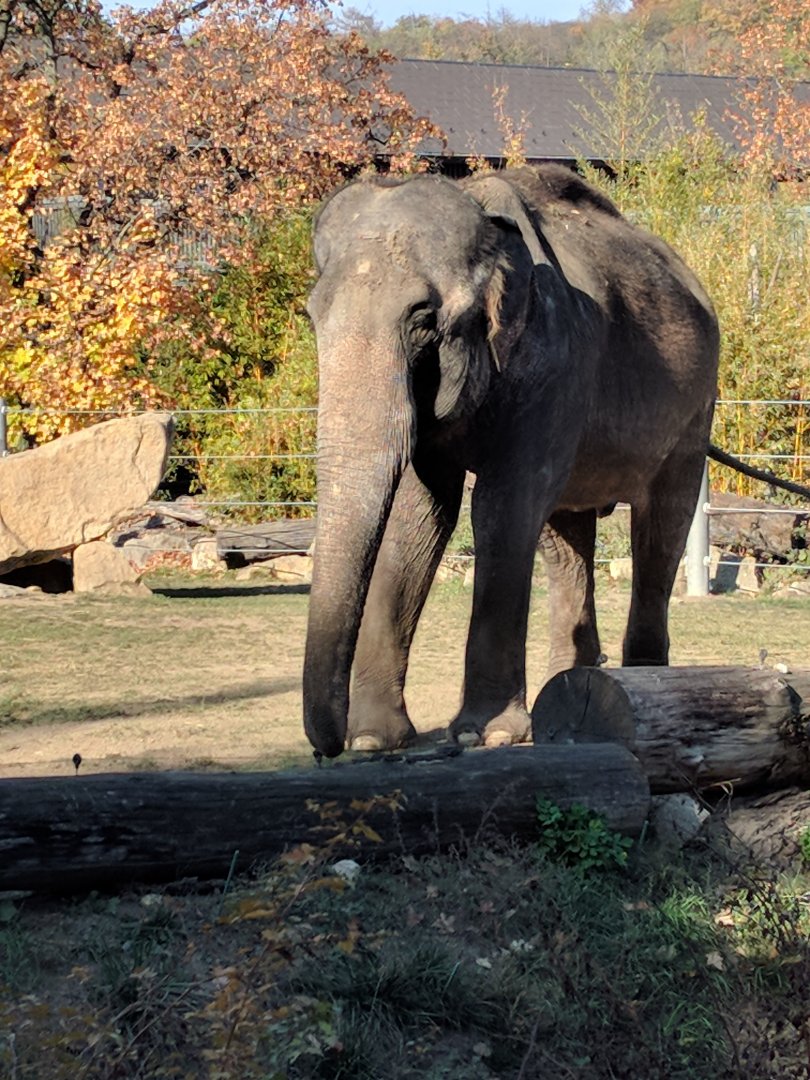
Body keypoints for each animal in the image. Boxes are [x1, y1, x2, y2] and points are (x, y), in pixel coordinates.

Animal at [303, 163, 720, 759]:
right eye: (312, 316)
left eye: (422, 319)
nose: (326, 748)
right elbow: (419, 514)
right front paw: (374, 739)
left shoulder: (552, 362)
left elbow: (502, 507)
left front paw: (489, 734)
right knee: (565, 540)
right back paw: (570, 685)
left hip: (694, 408)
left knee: (661, 527)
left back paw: (646, 682)